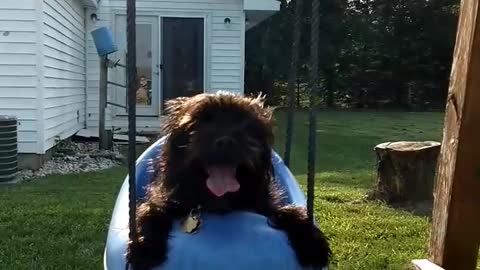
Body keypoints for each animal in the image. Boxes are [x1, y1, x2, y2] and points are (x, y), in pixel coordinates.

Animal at [126, 93, 330, 270]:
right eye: (201, 121)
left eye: (245, 123)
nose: (225, 141)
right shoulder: (166, 199)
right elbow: (151, 210)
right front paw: (145, 247)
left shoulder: (266, 206)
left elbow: (291, 211)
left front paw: (312, 243)